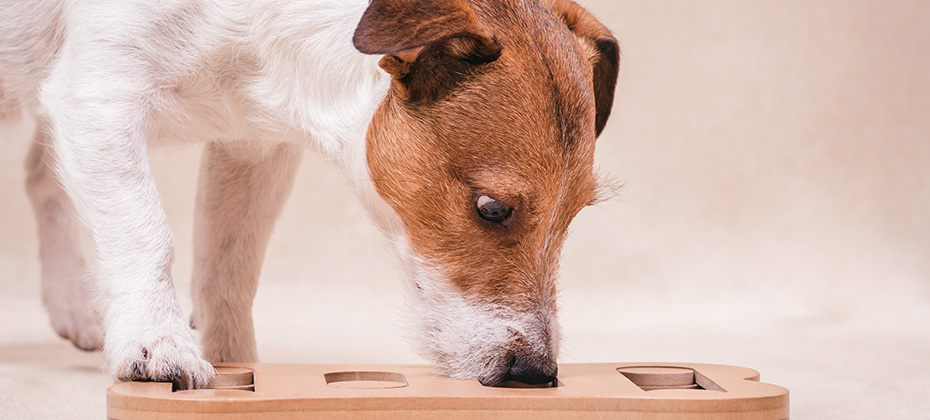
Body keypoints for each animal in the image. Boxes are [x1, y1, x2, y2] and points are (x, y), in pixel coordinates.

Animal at [5, 0, 624, 388]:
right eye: (491, 209)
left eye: (574, 215)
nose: (536, 374)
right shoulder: (99, 101)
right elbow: (147, 232)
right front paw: (157, 344)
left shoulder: (251, 150)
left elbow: (230, 269)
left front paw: (238, 368)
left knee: (40, 173)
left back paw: (73, 305)